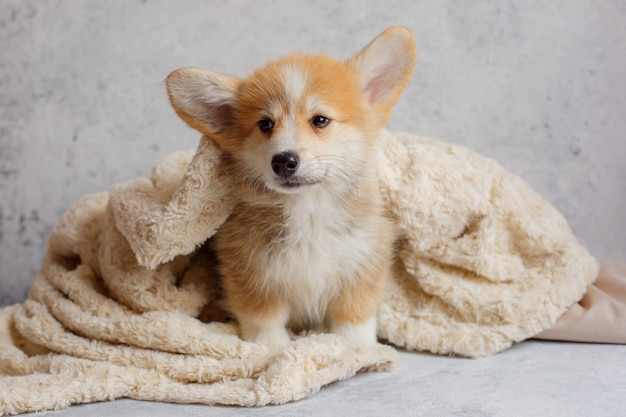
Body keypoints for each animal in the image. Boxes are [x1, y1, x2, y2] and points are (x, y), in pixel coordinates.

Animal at [165, 24, 414, 346]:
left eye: (320, 120)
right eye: (265, 125)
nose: (283, 161)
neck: (308, 209)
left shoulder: (362, 262)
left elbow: (353, 315)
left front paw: (356, 348)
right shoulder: (251, 272)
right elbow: (263, 318)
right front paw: (271, 347)